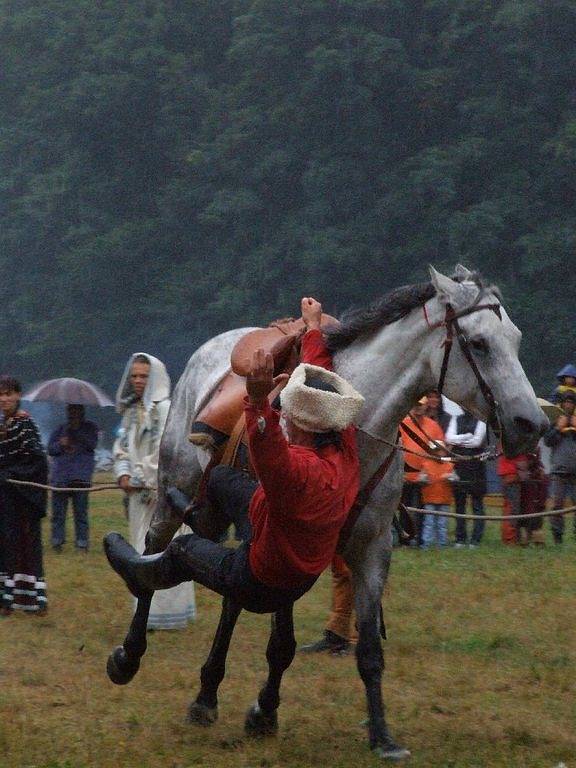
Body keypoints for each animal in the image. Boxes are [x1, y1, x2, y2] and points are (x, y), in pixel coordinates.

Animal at [106, 268, 548, 760]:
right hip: (175, 495)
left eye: (515, 339)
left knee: (229, 596)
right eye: (478, 343)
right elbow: (281, 644)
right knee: (153, 554)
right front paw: (265, 711)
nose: (533, 425)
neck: (350, 427)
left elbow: (369, 651)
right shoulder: (283, 540)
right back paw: (129, 654)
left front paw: (381, 736)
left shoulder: (371, 550)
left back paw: (206, 695)